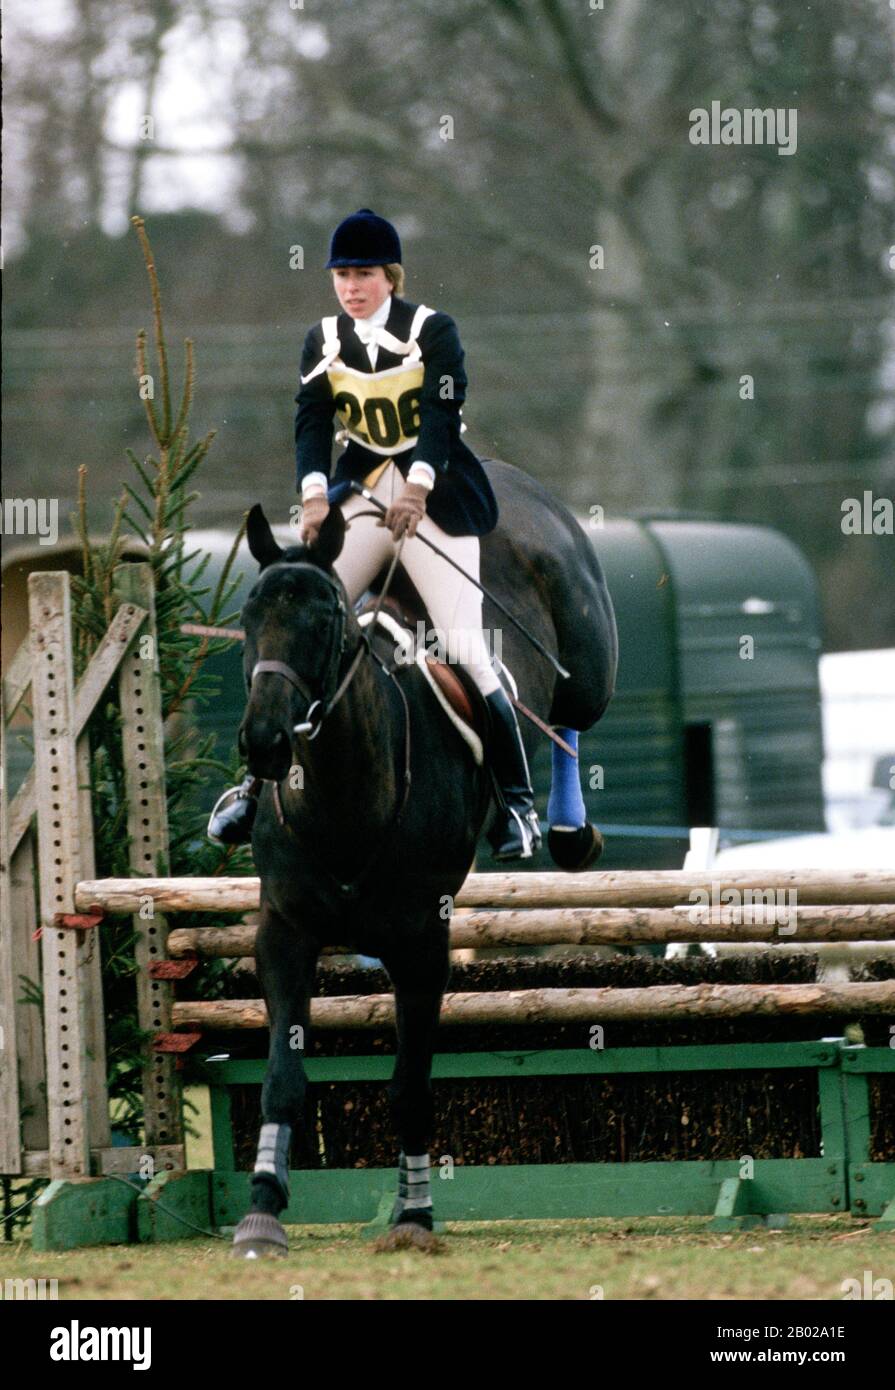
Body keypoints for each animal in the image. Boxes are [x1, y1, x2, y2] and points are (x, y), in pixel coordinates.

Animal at [230, 461, 614, 1256]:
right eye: (249, 618)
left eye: (325, 621)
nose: (264, 744)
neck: (346, 797)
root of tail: (506, 475)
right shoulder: (284, 932)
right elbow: (283, 1076)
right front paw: (262, 1208)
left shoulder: (423, 943)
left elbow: (409, 1086)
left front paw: (413, 1215)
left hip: (589, 661)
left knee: (567, 711)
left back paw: (563, 828)